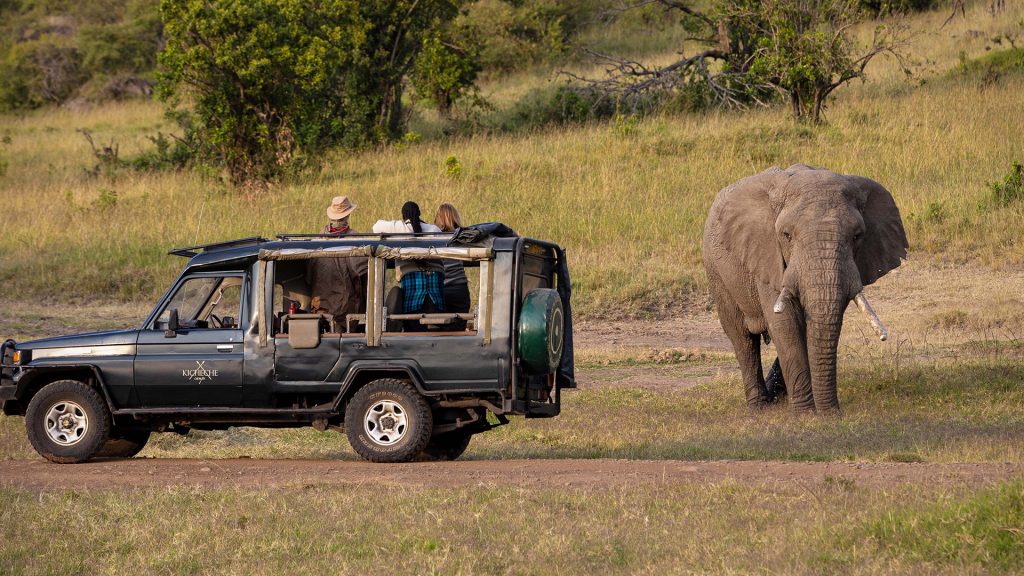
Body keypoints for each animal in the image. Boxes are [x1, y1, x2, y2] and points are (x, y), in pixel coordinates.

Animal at [700, 163, 909, 409]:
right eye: (786, 235)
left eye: (858, 236)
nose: (833, 412)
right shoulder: (768, 257)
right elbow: (785, 323)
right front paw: (805, 412)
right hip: (716, 270)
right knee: (742, 339)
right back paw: (759, 406)